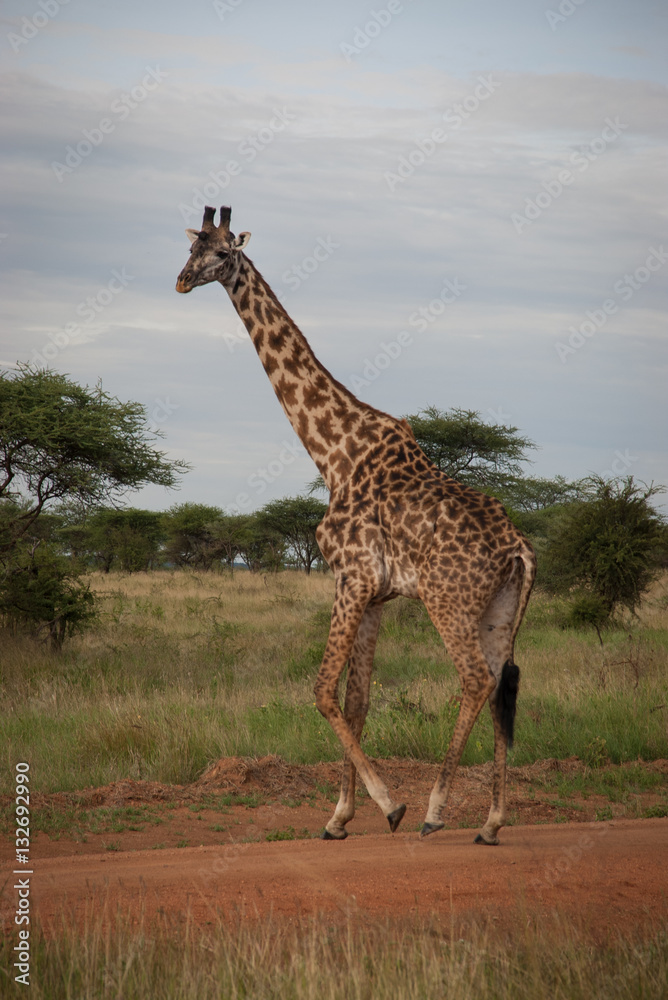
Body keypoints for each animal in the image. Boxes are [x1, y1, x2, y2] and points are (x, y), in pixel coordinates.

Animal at [176, 206, 536, 843]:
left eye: (222, 253)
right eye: (193, 247)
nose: (181, 281)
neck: (333, 452)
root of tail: (520, 549)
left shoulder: (352, 577)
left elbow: (322, 690)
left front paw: (386, 806)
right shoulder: (375, 594)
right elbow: (358, 699)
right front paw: (340, 816)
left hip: (448, 601)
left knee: (474, 680)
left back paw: (435, 811)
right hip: (499, 610)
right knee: (500, 687)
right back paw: (492, 822)